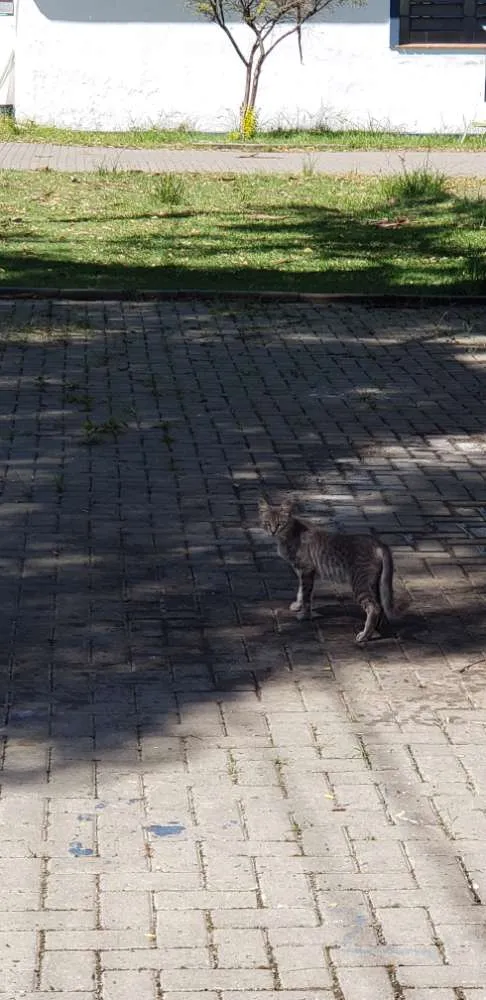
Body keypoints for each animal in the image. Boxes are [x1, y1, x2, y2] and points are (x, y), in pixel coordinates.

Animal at [259, 497, 396, 643]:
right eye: (267, 523)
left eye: (280, 524)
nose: (273, 532)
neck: (290, 533)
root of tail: (378, 543)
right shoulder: (303, 571)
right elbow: (301, 591)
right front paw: (298, 605)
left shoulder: (306, 569)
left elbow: (306, 595)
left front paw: (305, 614)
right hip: (373, 582)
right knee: (380, 606)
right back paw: (376, 629)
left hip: (359, 583)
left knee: (374, 607)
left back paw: (365, 635)